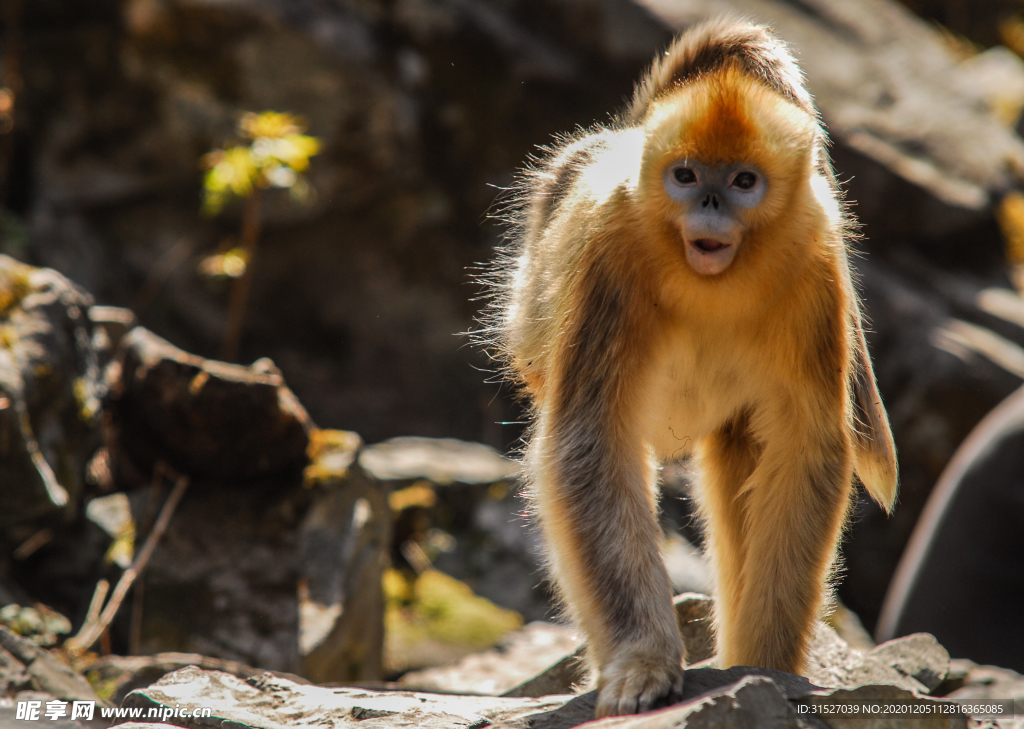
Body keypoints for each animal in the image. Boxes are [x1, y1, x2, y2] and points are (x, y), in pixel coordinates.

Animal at [479, 15, 897, 716]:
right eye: (686, 175)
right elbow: (590, 444)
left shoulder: (816, 272)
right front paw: (644, 661)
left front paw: (767, 665)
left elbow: (807, 447)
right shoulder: (611, 255)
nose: (709, 205)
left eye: (743, 182)